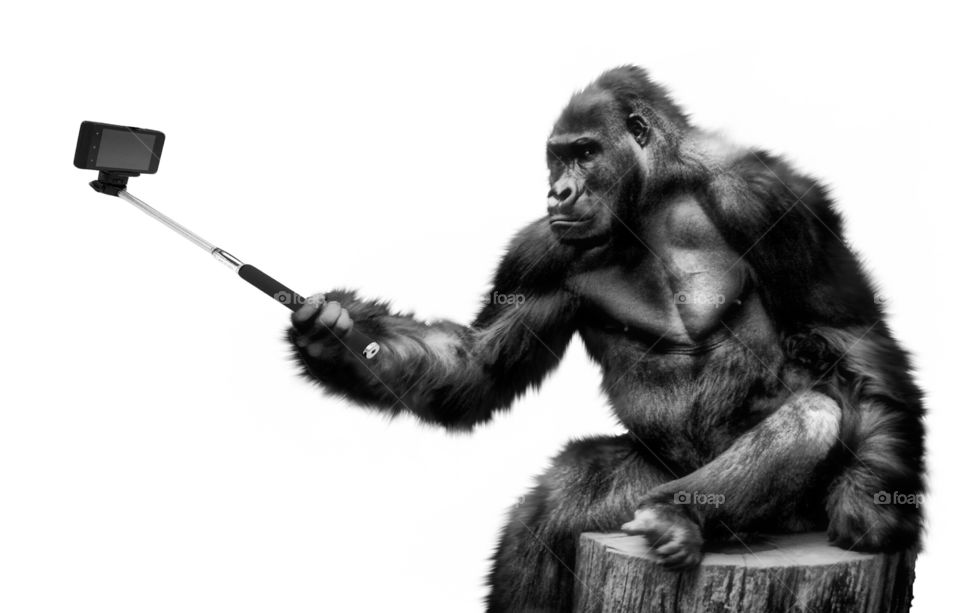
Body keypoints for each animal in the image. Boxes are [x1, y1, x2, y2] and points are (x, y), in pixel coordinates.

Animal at [287, 66, 924, 612]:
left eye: (586, 152)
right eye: (557, 156)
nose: (559, 192)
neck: (653, 196)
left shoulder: (772, 196)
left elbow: (846, 332)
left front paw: (871, 501)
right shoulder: (537, 252)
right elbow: (478, 365)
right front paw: (332, 336)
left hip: (777, 515)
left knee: (815, 413)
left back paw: (680, 518)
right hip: (637, 490)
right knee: (556, 508)